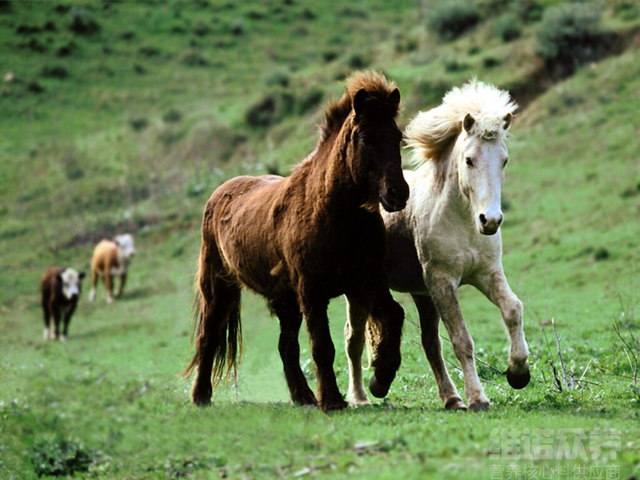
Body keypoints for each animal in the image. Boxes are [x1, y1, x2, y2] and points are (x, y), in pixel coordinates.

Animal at [182, 72, 408, 412]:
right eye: (365, 137)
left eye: (397, 136)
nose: (398, 193)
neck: (333, 212)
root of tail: (221, 192)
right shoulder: (312, 291)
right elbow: (323, 346)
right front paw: (333, 401)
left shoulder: (367, 281)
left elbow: (394, 315)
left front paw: (380, 379)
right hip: (219, 288)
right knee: (208, 337)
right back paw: (201, 396)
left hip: (285, 301)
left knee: (285, 346)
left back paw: (303, 396)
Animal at [344, 80, 528, 410]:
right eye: (469, 160)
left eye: (504, 160)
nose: (490, 220)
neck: (463, 222)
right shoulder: (444, 282)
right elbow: (462, 340)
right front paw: (478, 398)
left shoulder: (487, 274)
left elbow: (513, 309)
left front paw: (518, 373)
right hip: (361, 291)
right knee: (354, 339)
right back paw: (361, 397)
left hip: (422, 295)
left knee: (429, 344)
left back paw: (451, 398)